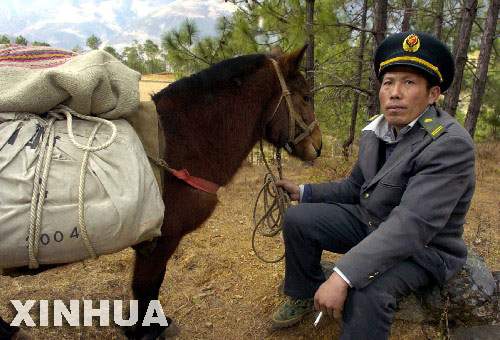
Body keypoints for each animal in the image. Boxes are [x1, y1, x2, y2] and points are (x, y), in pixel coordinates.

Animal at [0, 45, 322, 340]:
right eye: (305, 97)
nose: (318, 147)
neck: (178, 141)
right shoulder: (159, 241)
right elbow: (147, 286)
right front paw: (145, 330)